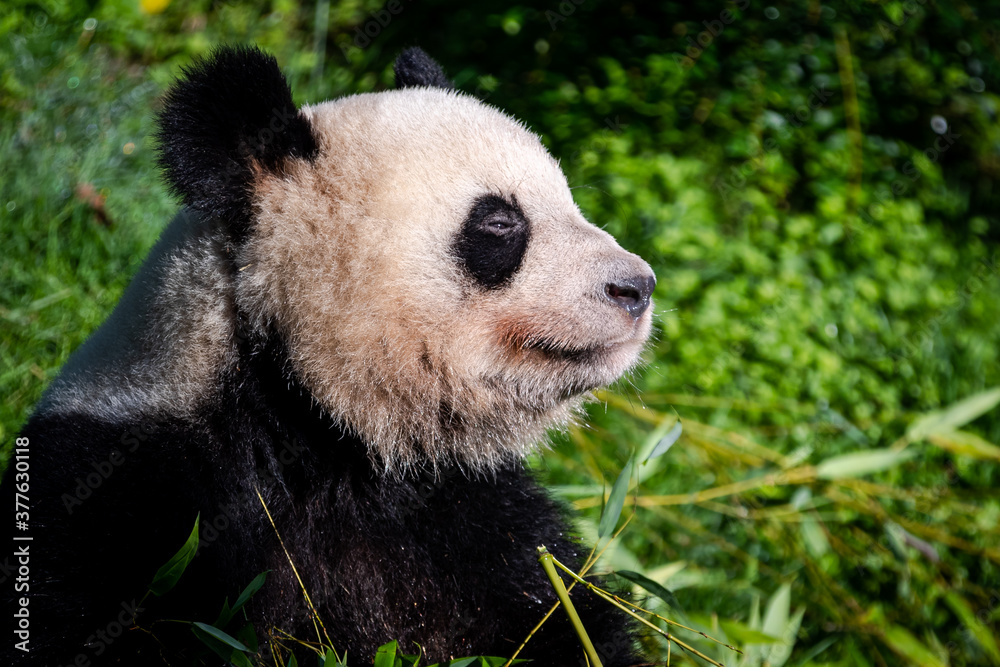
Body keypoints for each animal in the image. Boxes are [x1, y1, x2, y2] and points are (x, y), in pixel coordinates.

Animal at [2, 46, 656, 666]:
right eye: (499, 222)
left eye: (569, 201)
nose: (637, 286)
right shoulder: (130, 494)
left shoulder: (463, 511)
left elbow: (547, 614)